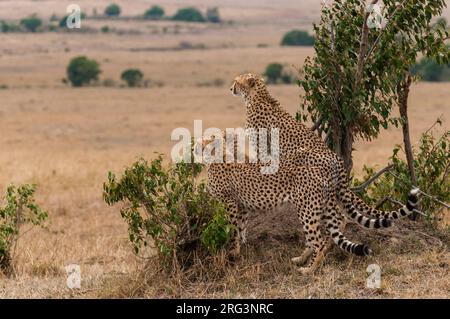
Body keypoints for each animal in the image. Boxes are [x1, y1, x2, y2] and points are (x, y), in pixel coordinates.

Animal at [195, 133, 420, 276]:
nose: (194, 147)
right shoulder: (242, 205)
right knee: (335, 225)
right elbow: (241, 228)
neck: (216, 156)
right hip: (322, 207)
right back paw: (303, 259)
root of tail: (330, 164)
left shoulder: (230, 203)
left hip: (306, 210)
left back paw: (309, 269)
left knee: (318, 240)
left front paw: (233, 252)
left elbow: (232, 228)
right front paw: (242, 247)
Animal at [230, 73, 420, 224]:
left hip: (305, 158)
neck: (257, 96)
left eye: (236, 81)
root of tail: (337, 158)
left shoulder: (262, 145)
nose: (231, 88)